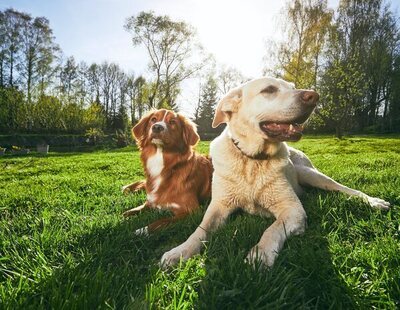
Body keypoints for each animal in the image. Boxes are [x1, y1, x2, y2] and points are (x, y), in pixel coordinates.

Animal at [160, 78, 390, 268]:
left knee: (346, 189)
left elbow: (272, 229)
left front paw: (260, 254)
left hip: (311, 175)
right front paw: (180, 251)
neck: (252, 160)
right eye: (269, 90)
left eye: (292, 87)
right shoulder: (219, 205)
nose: (313, 96)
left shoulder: (292, 210)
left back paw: (374, 202)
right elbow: (200, 230)